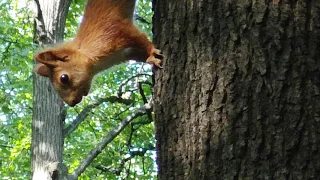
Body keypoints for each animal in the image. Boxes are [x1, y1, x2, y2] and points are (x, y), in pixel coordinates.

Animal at [34, 0, 162, 107]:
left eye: (64, 78)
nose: (72, 103)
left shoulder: (116, 30)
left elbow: (141, 38)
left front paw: (152, 54)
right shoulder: (124, 54)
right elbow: (137, 54)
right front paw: (149, 59)